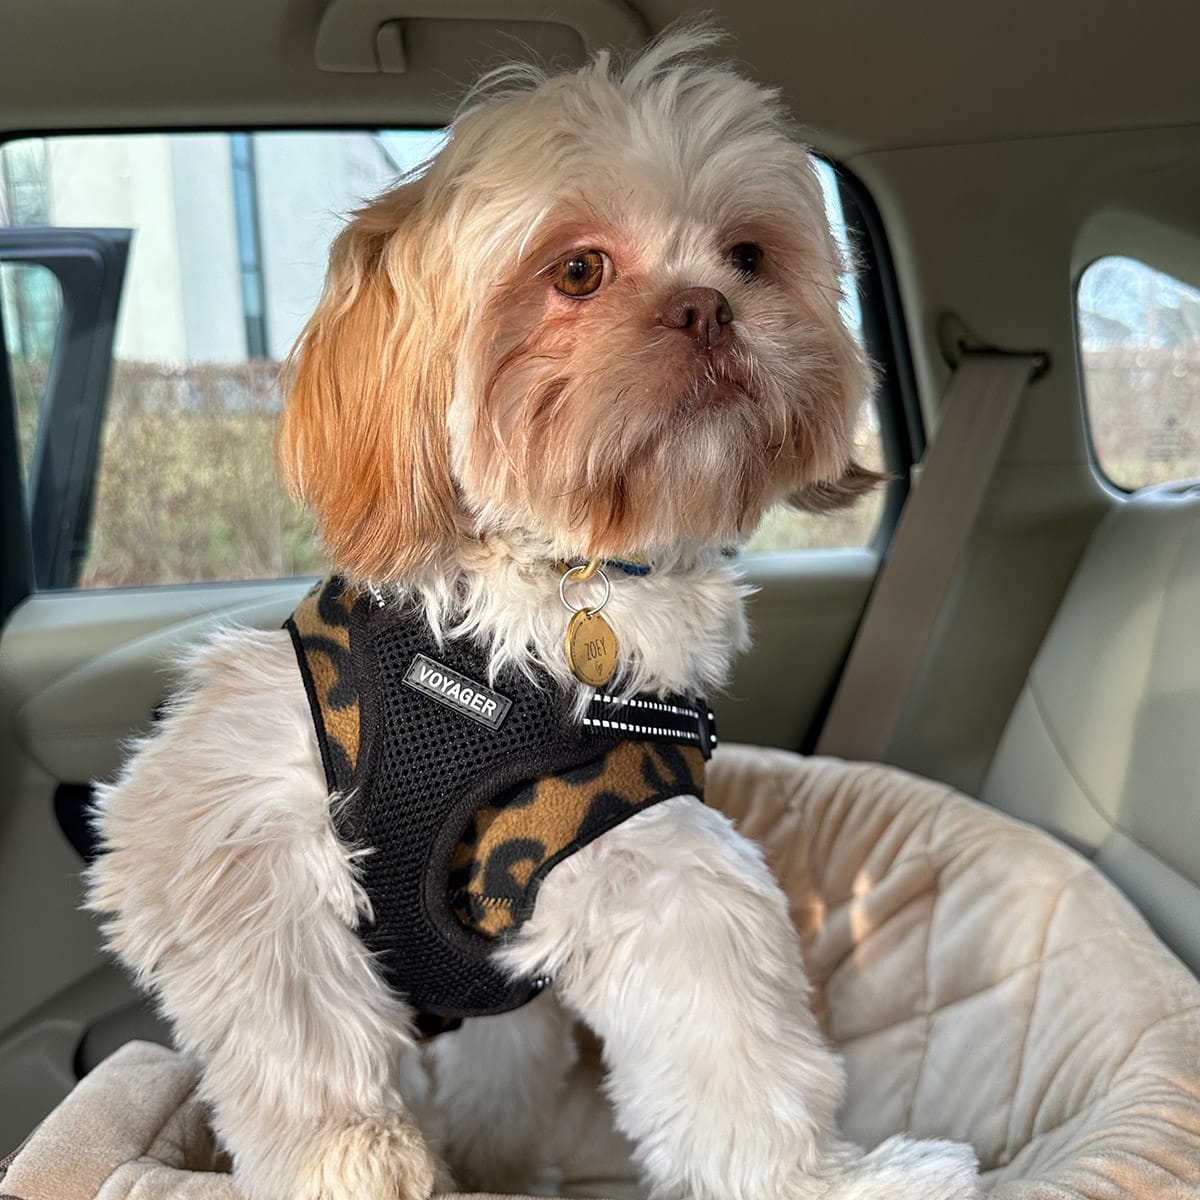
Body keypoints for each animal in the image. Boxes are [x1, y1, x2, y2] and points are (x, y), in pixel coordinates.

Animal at [91, 25, 974, 1200]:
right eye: (578, 270)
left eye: (747, 255)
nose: (709, 304)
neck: (558, 590)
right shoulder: (221, 814)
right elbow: (291, 1017)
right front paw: (353, 1159)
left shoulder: (639, 845)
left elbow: (733, 1048)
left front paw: (820, 1181)